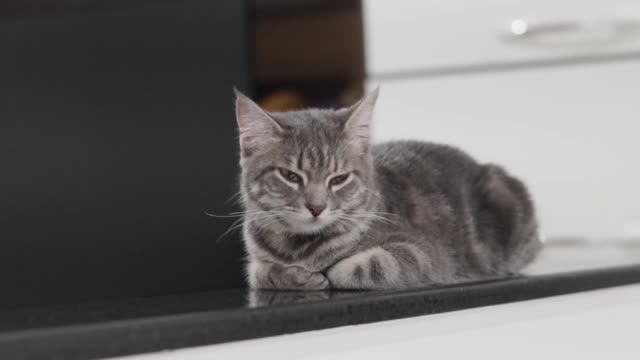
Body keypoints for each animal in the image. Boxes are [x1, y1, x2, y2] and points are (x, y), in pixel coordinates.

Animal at [235, 88, 540, 292]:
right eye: (290, 176)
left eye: (339, 179)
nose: (316, 207)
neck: (299, 249)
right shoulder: (257, 260)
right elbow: (259, 272)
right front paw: (294, 275)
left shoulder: (423, 253)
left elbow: (366, 265)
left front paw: (325, 271)